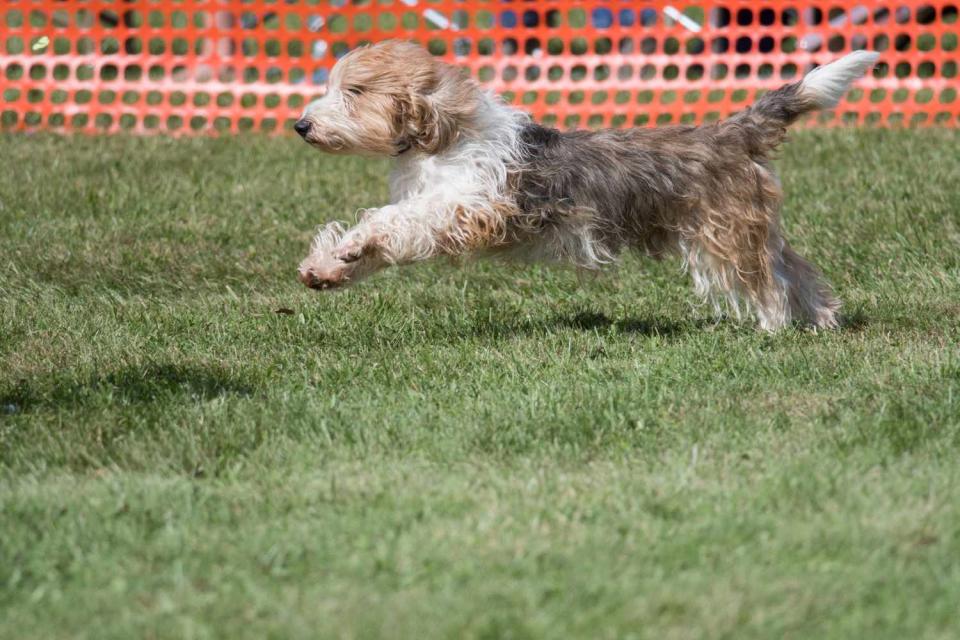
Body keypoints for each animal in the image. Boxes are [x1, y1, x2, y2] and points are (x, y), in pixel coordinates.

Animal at [296, 40, 880, 332]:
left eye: (354, 91)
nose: (301, 125)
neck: (444, 136)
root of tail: (733, 130)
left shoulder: (471, 207)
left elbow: (395, 220)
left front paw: (350, 245)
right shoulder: (435, 206)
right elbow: (388, 236)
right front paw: (329, 266)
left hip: (725, 235)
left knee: (770, 282)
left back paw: (773, 330)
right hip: (753, 228)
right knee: (798, 271)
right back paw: (822, 322)